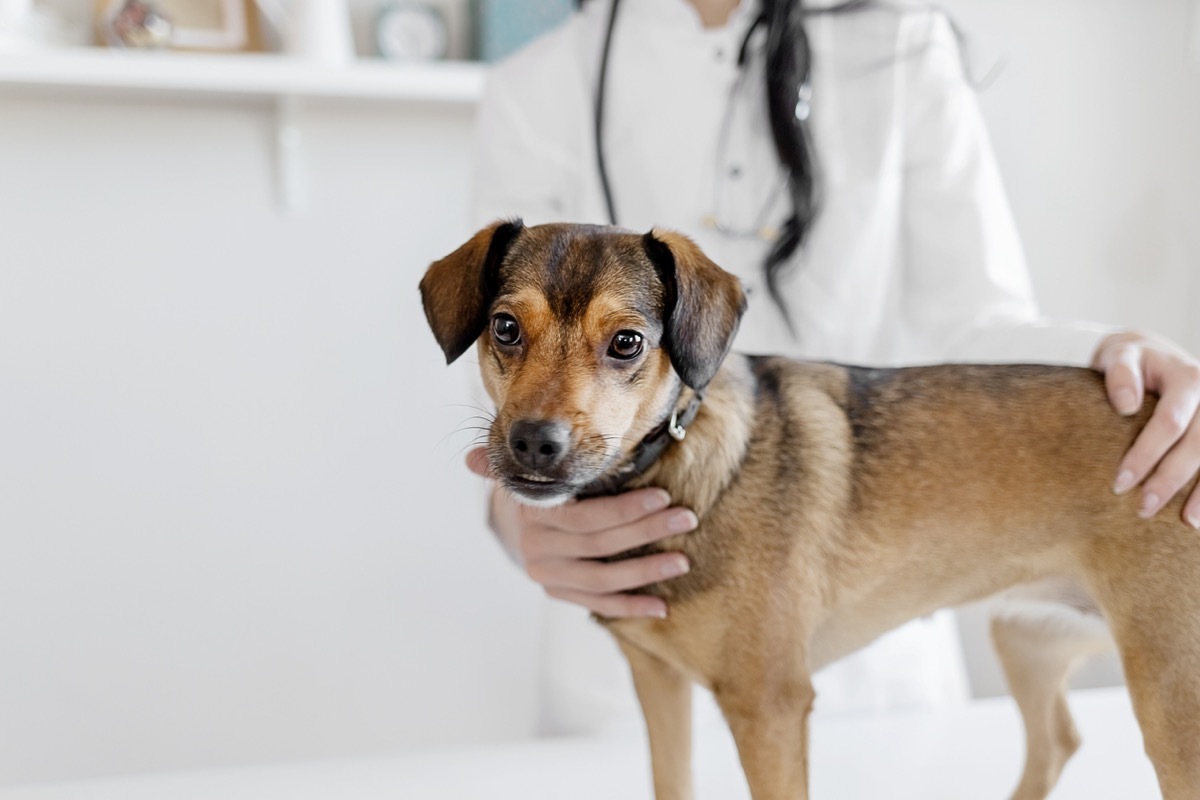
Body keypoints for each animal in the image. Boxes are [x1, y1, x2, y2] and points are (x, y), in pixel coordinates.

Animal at [420, 220, 1200, 800]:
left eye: (627, 342)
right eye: (504, 328)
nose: (534, 442)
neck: (674, 469)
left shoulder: (769, 708)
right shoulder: (659, 683)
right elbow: (672, 780)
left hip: (1171, 702)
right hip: (1029, 638)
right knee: (1057, 740)